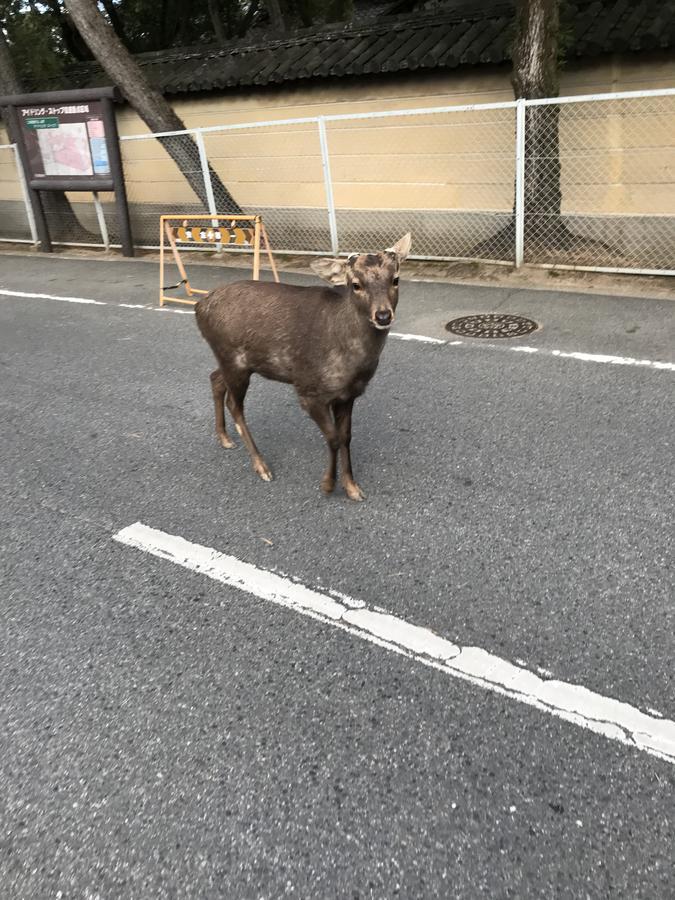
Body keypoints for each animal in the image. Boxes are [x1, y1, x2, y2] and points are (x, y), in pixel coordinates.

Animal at [193, 232, 410, 500]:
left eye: (395, 279)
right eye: (356, 284)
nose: (383, 315)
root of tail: (198, 307)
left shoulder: (348, 395)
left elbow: (346, 437)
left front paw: (352, 487)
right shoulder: (308, 390)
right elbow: (333, 437)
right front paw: (328, 485)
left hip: (233, 360)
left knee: (215, 378)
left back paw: (224, 438)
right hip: (232, 359)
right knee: (234, 404)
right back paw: (261, 466)